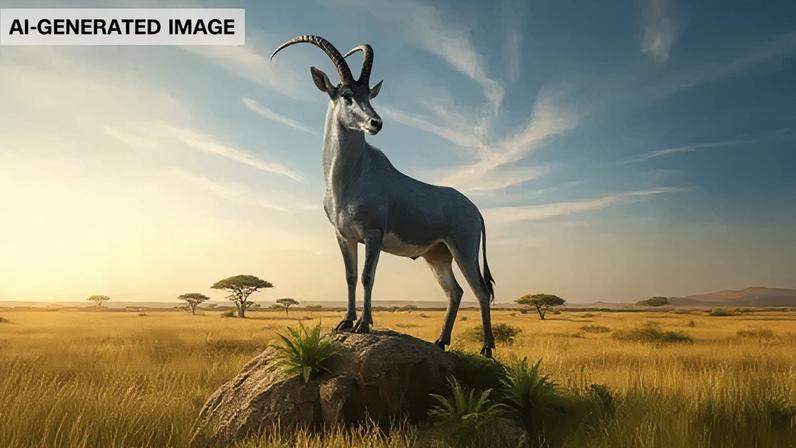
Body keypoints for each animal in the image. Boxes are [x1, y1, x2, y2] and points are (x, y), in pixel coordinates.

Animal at [271, 35, 496, 356]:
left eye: (369, 95)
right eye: (346, 95)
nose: (375, 123)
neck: (351, 178)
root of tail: (475, 210)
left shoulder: (373, 234)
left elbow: (368, 276)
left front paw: (363, 325)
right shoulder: (344, 236)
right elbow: (350, 276)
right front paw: (346, 322)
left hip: (463, 249)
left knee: (480, 290)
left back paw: (487, 349)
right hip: (437, 256)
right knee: (455, 291)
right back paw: (440, 342)